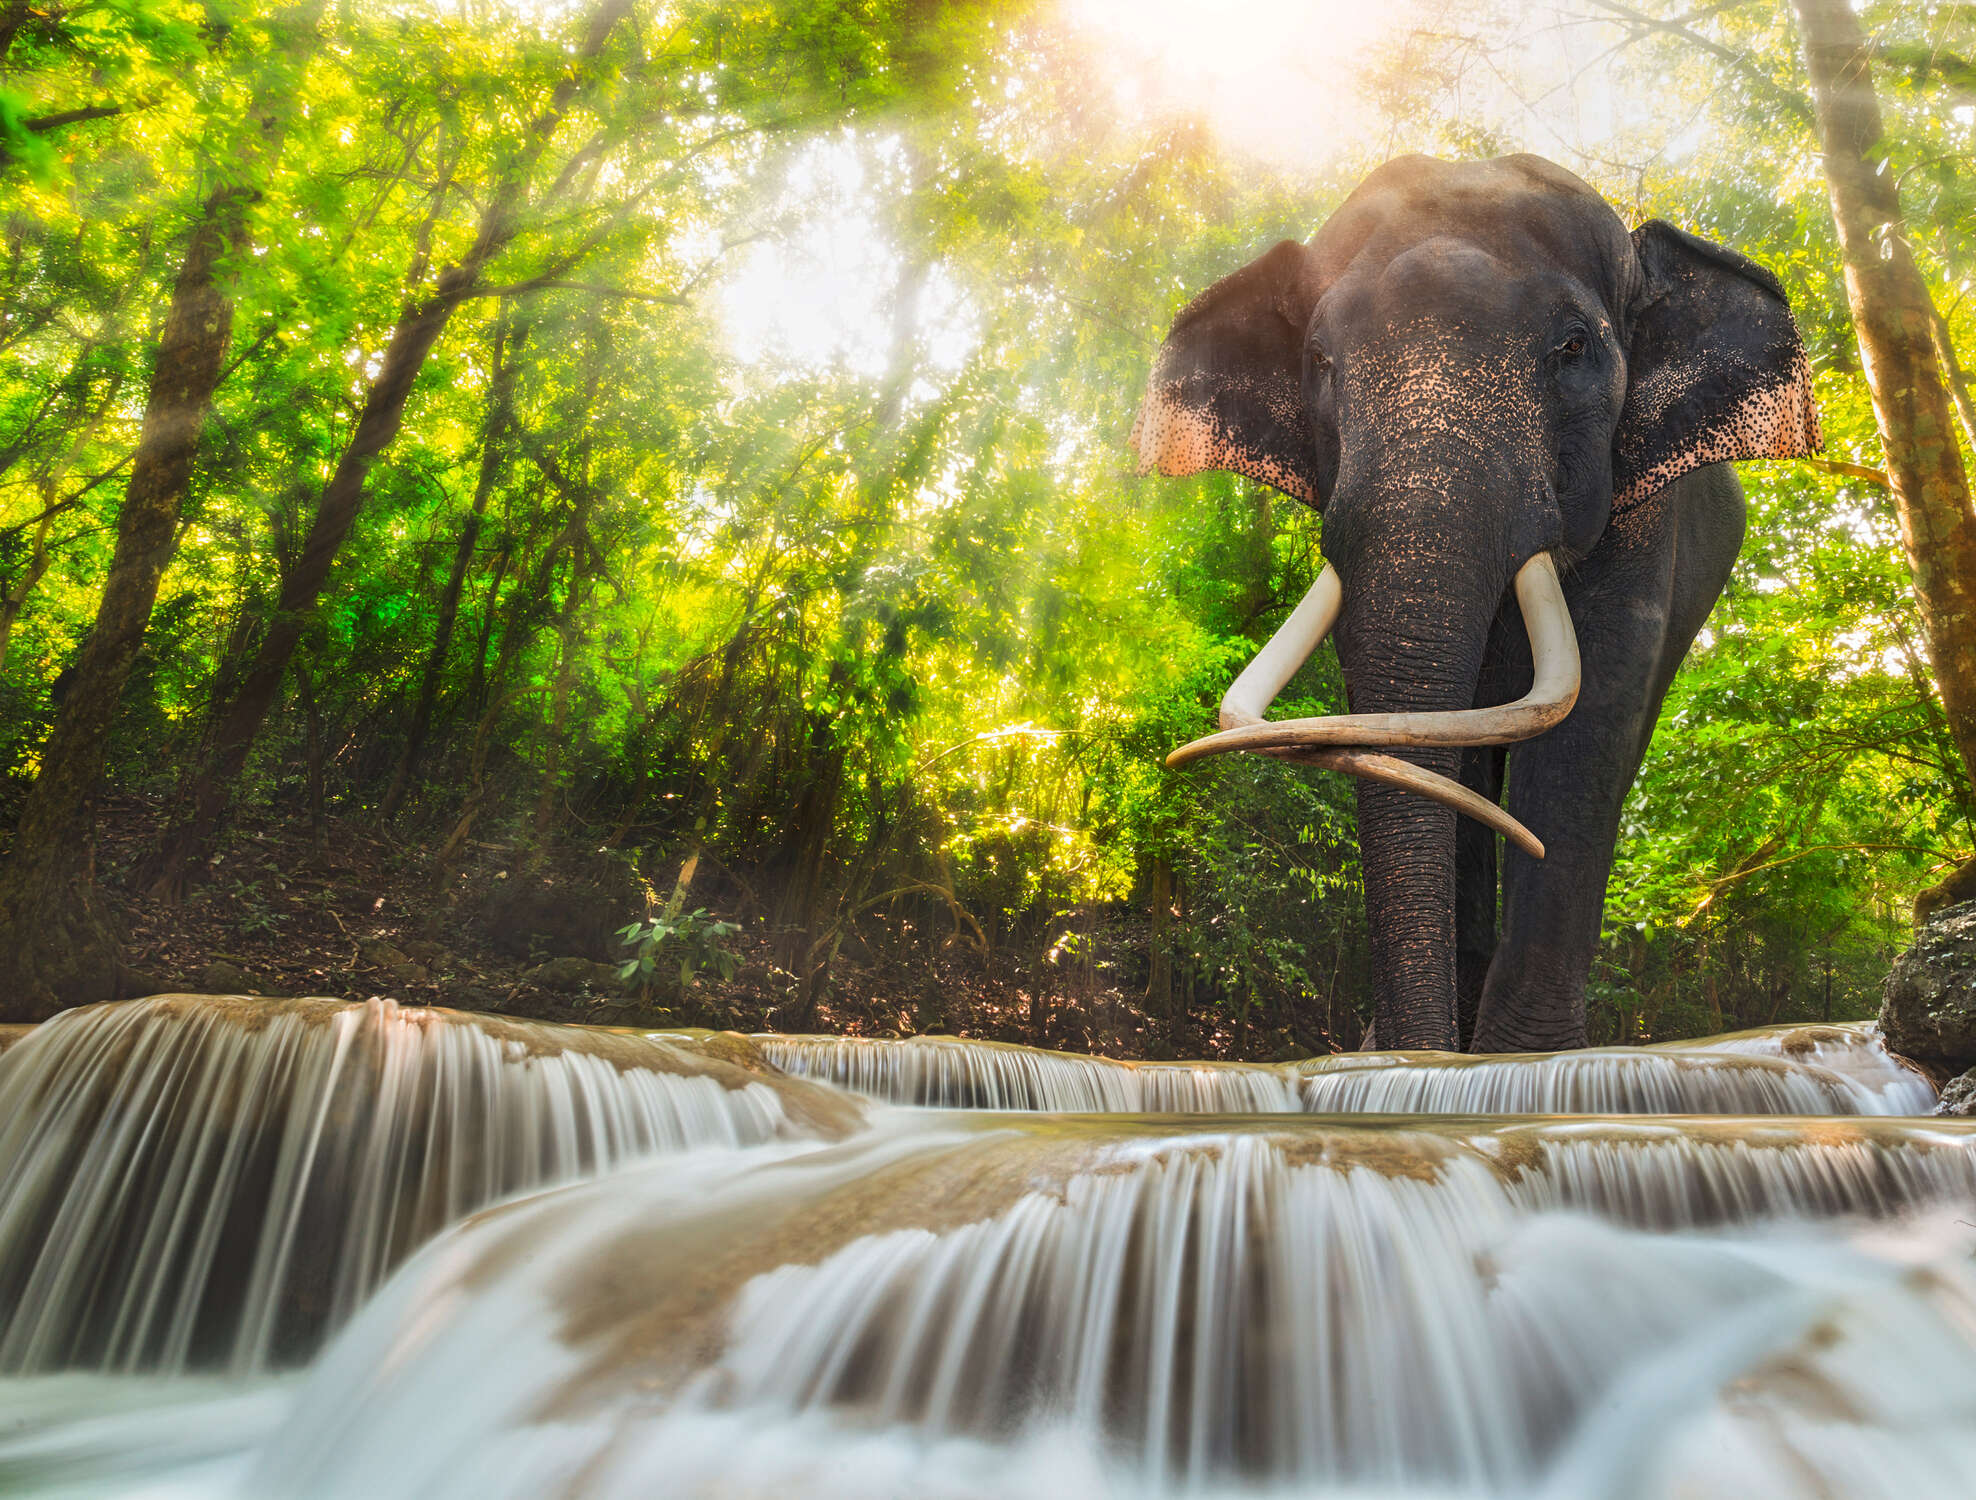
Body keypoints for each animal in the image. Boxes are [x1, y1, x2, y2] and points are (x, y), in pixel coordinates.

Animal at [1131, 153, 1820, 1053]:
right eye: (1319, 360)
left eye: (1574, 347)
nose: (1399, 1050)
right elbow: (1417, 736)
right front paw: (1412, 1055)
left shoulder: (1641, 518)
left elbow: (1586, 728)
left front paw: (1523, 1062)